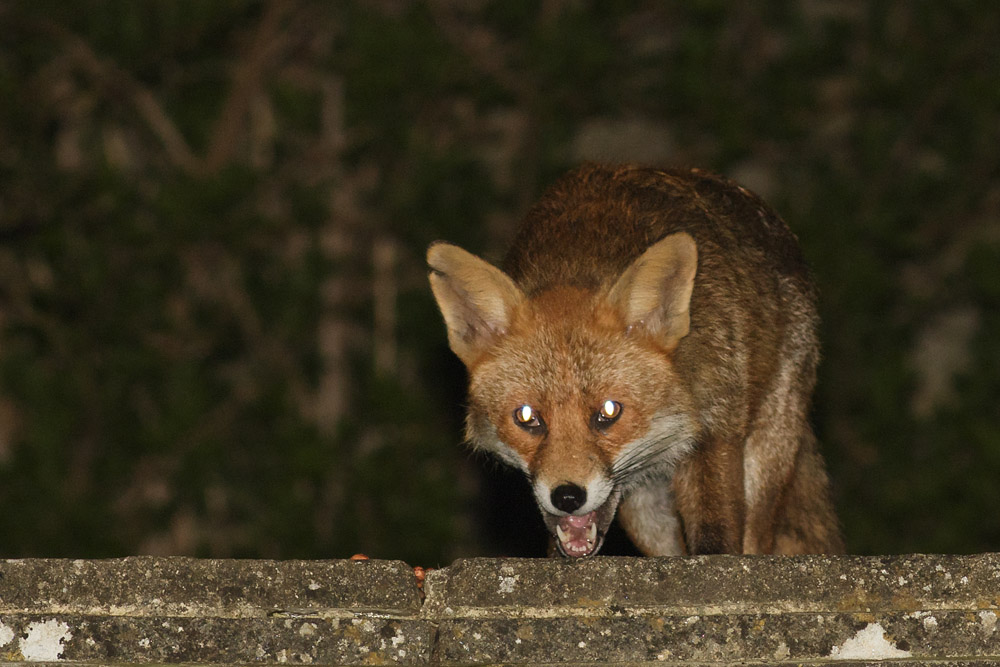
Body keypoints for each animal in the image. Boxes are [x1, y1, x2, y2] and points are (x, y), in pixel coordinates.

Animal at [427, 164, 843, 558]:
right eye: (527, 417)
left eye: (609, 412)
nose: (567, 497)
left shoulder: (715, 430)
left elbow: (716, 535)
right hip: (645, 513)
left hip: (765, 452)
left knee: (756, 534)